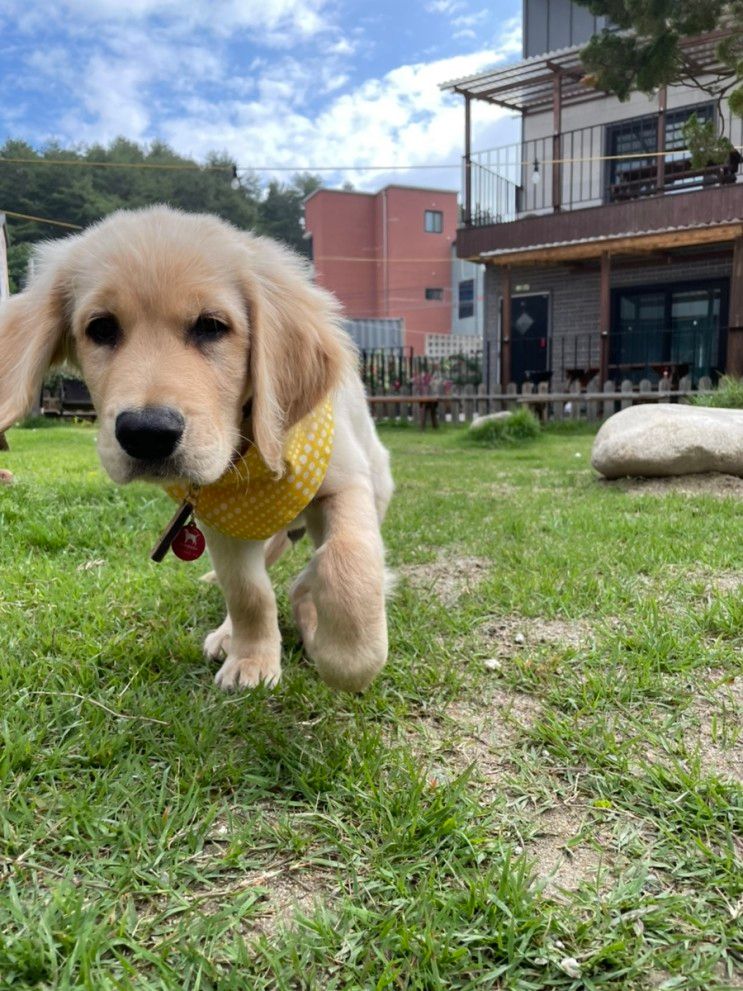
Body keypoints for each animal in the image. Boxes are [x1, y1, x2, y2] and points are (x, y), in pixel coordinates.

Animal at [0, 205, 396, 688]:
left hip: (376, 481)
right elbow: (248, 592)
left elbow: (346, 561)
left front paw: (347, 657)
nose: (146, 433)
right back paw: (231, 635)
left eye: (211, 326)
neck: (250, 453)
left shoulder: (345, 485)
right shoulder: (223, 523)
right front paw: (252, 660)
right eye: (101, 328)